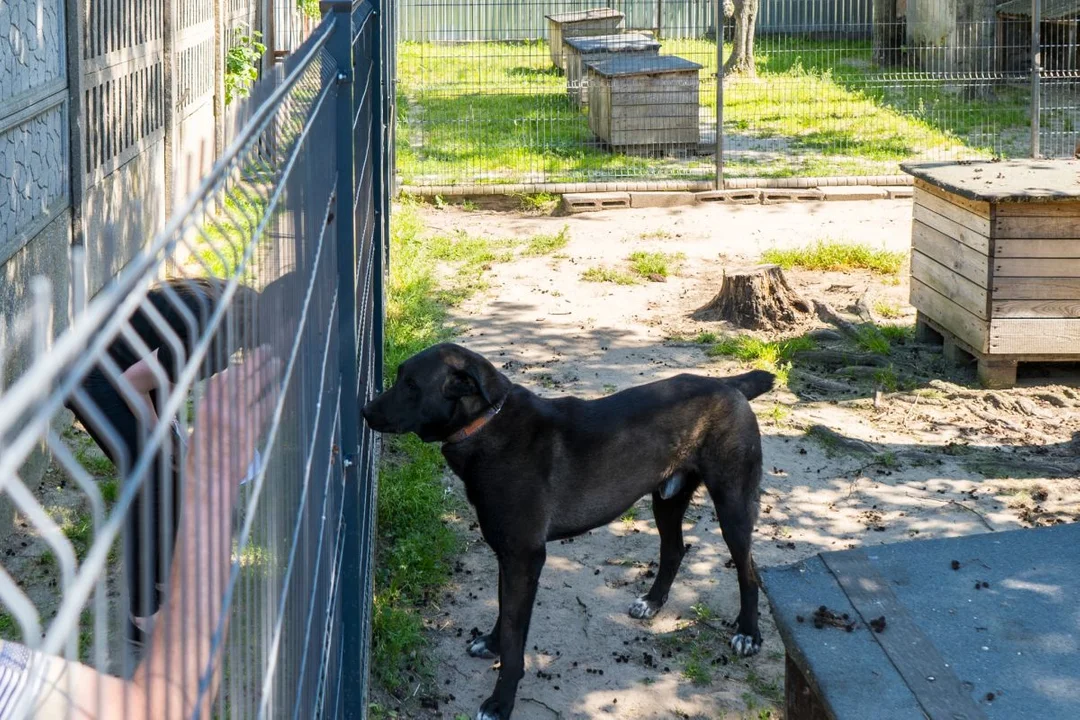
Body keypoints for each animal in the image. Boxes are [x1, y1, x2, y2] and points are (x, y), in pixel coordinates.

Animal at [367, 345, 773, 720]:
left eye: (412, 385)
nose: (365, 411)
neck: (486, 422)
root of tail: (729, 385)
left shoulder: (524, 557)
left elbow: (515, 637)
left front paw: (500, 702)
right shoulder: (508, 555)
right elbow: (505, 612)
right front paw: (492, 645)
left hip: (733, 504)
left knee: (749, 570)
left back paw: (748, 634)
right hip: (667, 498)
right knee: (674, 549)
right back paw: (653, 602)